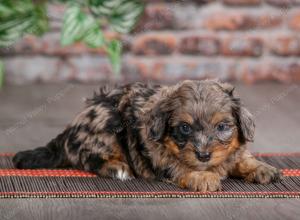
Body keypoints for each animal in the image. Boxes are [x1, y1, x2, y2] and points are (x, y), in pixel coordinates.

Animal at [12, 80, 282, 192]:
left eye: (223, 127)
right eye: (185, 128)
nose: (204, 155)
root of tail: (70, 128)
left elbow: (240, 157)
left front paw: (262, 168)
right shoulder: (159, 156)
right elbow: (179, 166)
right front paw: (202, 177)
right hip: (108, 122)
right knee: (88, 157)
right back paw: (117, 168)